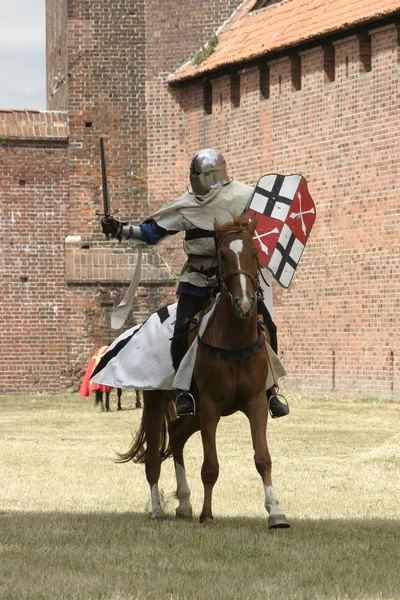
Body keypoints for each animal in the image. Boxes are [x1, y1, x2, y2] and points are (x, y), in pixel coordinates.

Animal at [117, 213, 290, 528]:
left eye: (254, 253)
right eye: (222, 256)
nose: (245, 303)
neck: (234, 339)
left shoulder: (256, 403)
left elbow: (263, 458)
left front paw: (275, 512)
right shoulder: (209, 406)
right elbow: (210, 465)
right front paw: (207, 515)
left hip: (197, 413)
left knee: (176, 435)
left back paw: (185, 502)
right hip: (159, 401)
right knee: (153, 457)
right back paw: (157, 509)